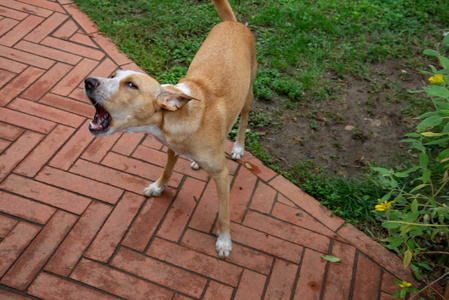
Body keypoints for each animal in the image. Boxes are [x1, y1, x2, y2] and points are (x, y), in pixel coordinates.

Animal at [84, 0, 256, 258]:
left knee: (244, 120)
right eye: (113, 75)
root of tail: (234, 24)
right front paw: (158, 188)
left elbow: (224, 214)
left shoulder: (222, 175)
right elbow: (166, 171)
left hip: (248, 96)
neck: (177, 115)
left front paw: (225, 241)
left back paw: (238, 147)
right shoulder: (171, 149)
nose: (88, 82)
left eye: (131, 85)